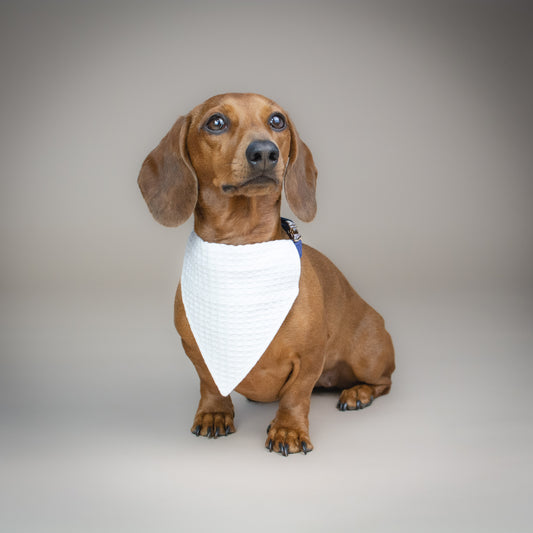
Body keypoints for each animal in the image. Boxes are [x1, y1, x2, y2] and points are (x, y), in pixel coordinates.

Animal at [138, 93, 394, 456]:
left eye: (277, 121)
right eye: (215, 122)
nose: (264, 152)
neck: (241, 246)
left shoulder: (309, 357)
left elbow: (296, 395)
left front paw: (288, 430)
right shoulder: (197, 351)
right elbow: (209, 384)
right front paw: (215, 413)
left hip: (367, 355)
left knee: (383, 381)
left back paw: (358, 393)